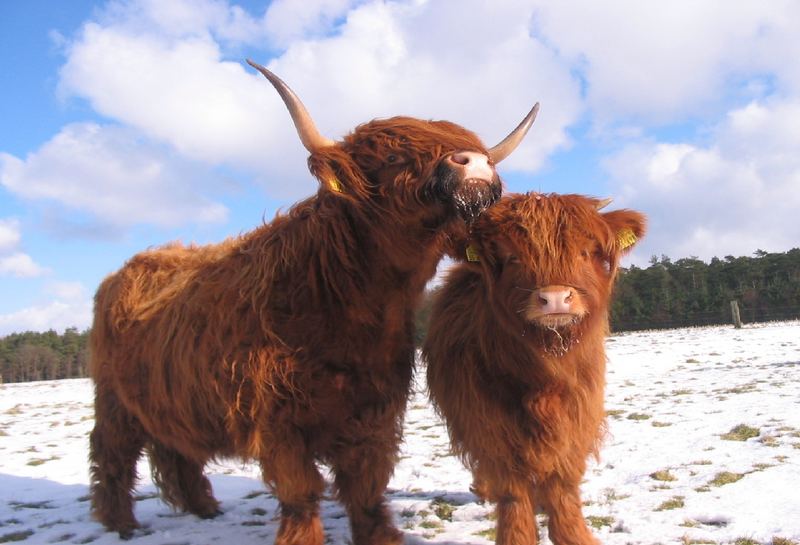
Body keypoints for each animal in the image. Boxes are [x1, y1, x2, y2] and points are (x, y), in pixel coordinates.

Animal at [87, 59, 536, 544]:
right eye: (391, 157)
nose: (475, 163)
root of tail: (126, 269)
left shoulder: (374, 412)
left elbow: (365, 487)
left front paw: (381, 535)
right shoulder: (278, 422)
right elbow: (301, 493)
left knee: (175, 449)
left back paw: (203, 508)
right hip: (113, 400)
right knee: (111, 452)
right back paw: (121, 523)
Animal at [424, 192, 644, 544]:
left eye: (584, 252)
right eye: (511, 257)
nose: (554, 298)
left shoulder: (577, 415)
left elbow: (563, 483)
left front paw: (575, 535)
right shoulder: (488, 423)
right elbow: (512, 491)